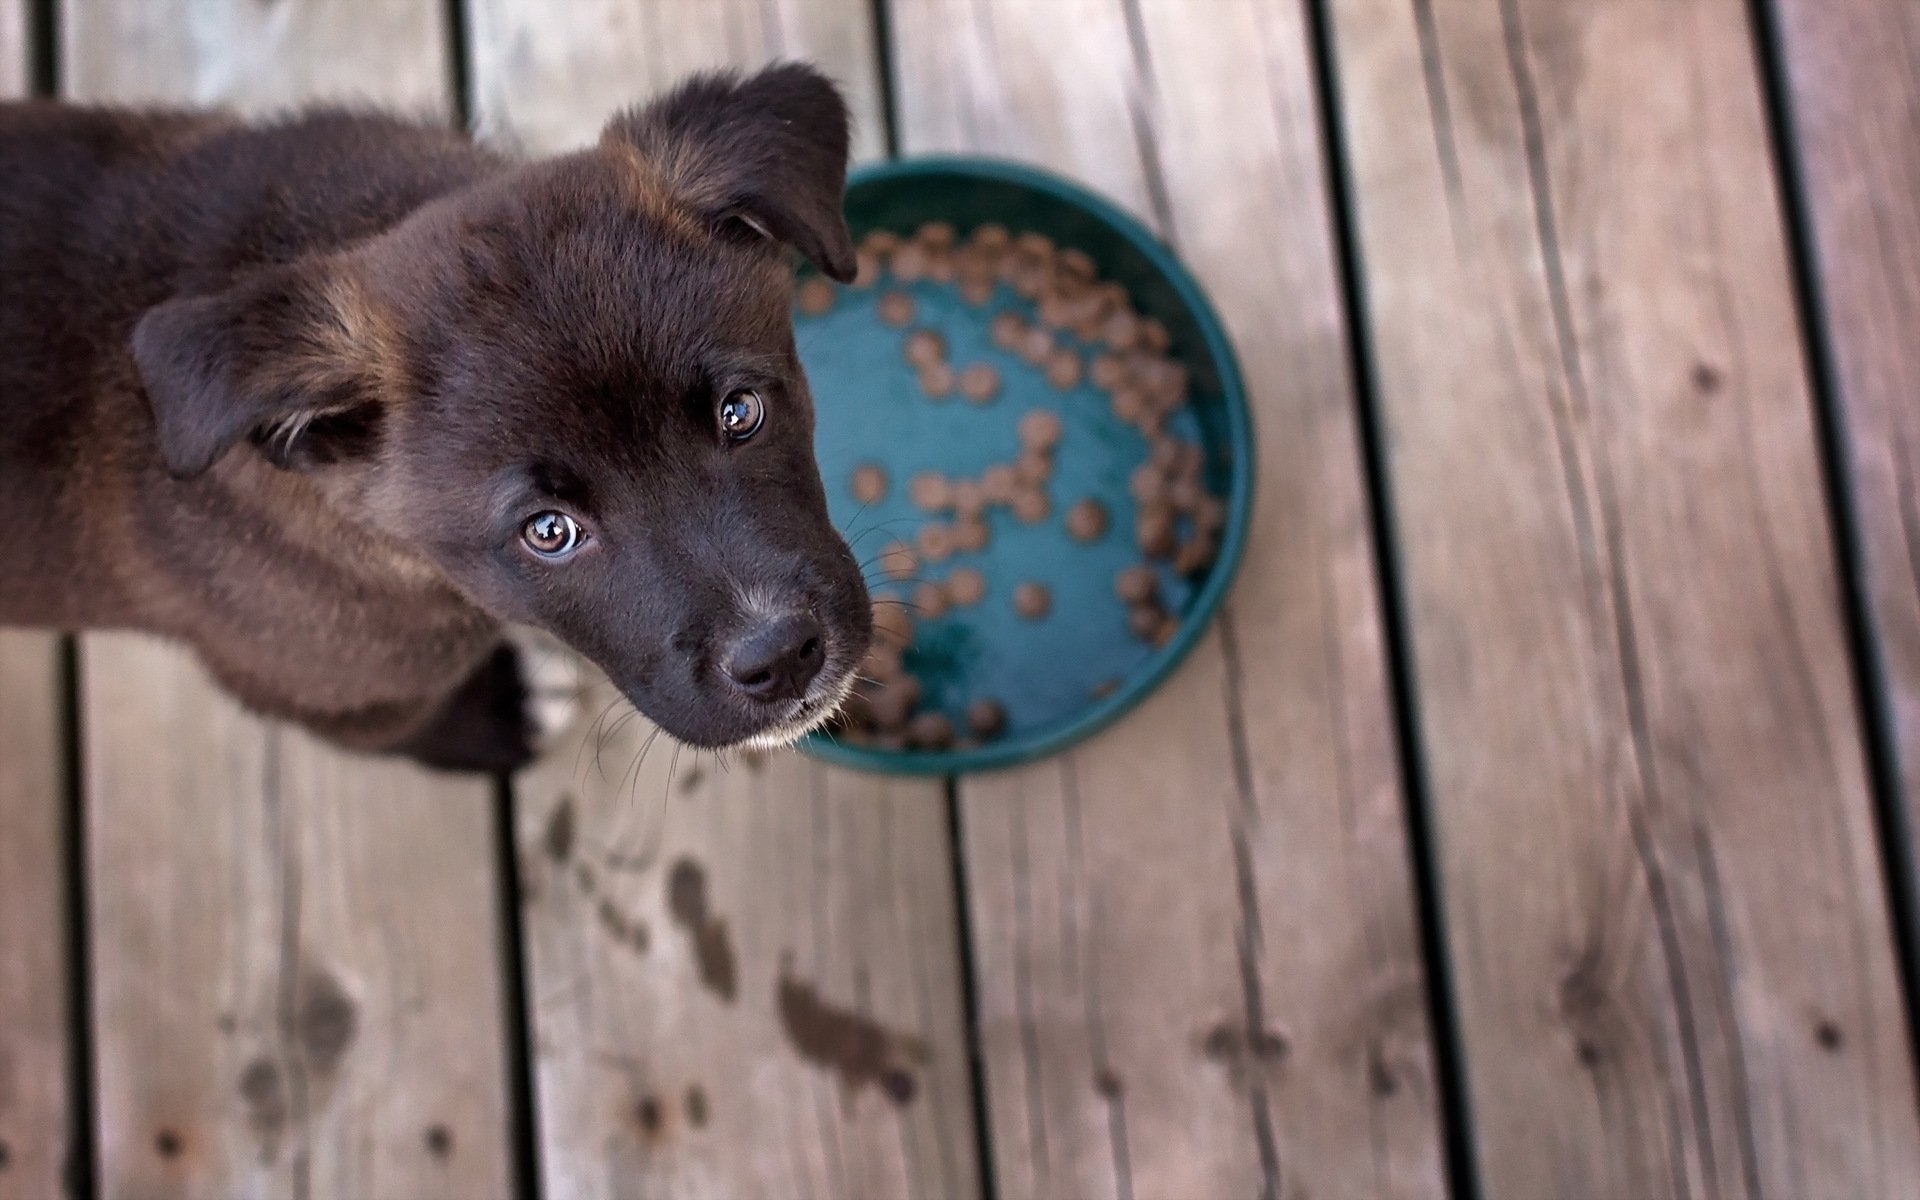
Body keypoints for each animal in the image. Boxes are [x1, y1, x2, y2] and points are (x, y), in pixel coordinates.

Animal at [0, 65, 875, 771]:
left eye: (740, 412)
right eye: (547, 531)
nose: (781, 658)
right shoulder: (314, 688)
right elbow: (402, 729)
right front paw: (502, 719)